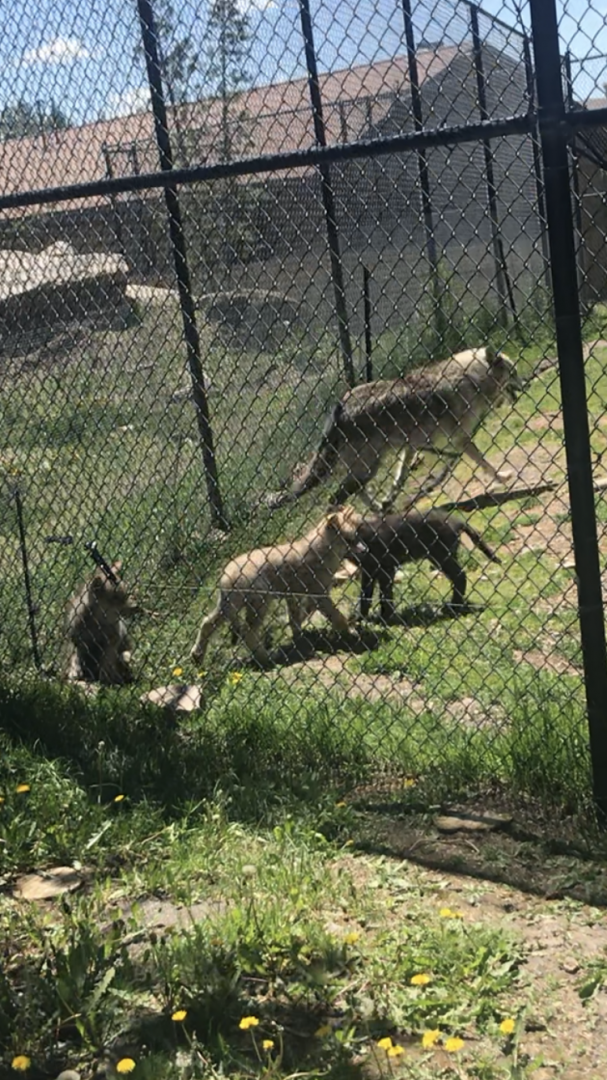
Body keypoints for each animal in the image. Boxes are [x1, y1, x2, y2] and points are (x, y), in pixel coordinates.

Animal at [190, 505, 365, 667]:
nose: (365, 549)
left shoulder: (297, 595)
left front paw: (297, 633)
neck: (326, 547)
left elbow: (298, 616)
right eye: (349, 538)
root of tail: (227, 575)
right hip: (260, 602)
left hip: (229, 606)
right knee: (248, 633)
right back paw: (268, 658)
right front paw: (351, 632)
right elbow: (336, 615)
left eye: (358, 533)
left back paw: (197, 656)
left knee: (207, 622)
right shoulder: (318, 594)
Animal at [267, 347, 522, 512]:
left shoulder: (410, 448)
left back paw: (379, 510)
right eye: (514, 372)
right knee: (334, 500)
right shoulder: (462, 440)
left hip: (366, 468)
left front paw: (389, 500)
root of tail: (340, 409)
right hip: (367, 468)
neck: (471, 377)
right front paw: (503, 477)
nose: (525, 384)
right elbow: (487, 465)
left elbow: (399, 478)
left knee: (354, 493)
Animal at [350, 510, 501, 621]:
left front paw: (385, 617)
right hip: (442, 556)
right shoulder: (369, 570)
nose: (360, 550)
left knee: (460, 576)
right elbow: (365, 594)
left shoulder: (386, 568)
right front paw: (360, 618)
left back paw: (453, 608)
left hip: (441, 555)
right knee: (456, 577)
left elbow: (384, 594)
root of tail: (456, 520)